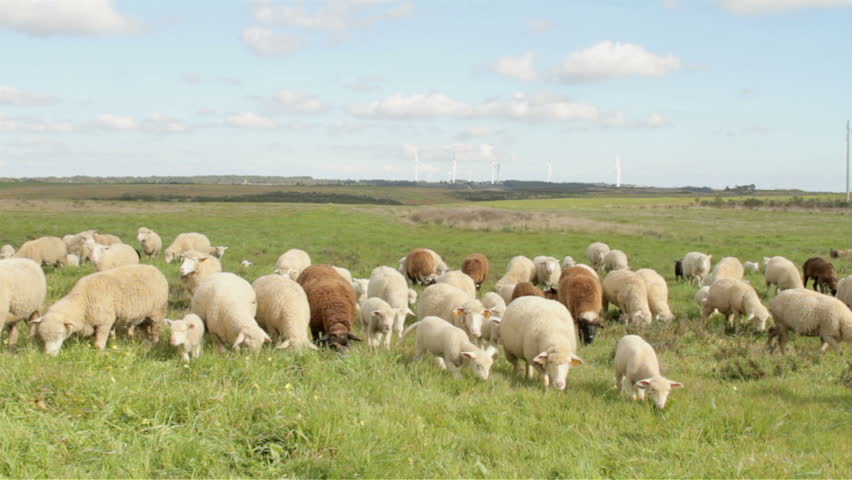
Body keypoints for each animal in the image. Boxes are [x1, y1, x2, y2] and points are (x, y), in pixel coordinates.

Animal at [33, 264, 168, 355]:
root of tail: (155, 269)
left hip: (158, 310)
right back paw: (146, 341)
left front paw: (99, 353)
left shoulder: (104, 322)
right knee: (146, 328)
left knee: (156, 328)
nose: (49, 355)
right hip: (144, 314)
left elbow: (98, 344)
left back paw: (154, 343)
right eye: (43, 337)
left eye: (59, 334)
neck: (83, 302)